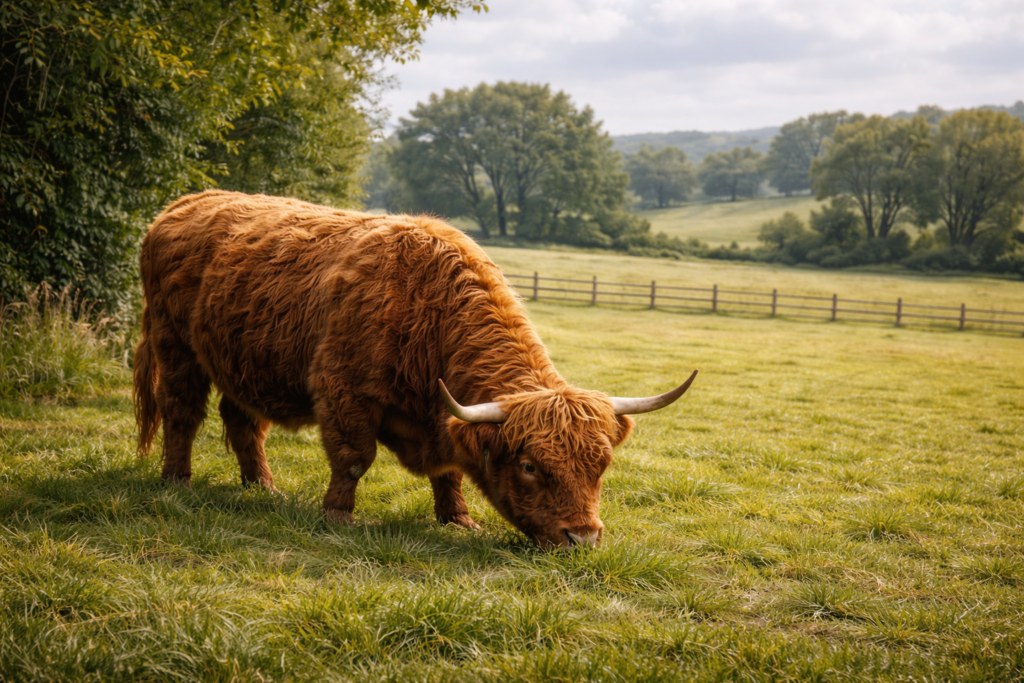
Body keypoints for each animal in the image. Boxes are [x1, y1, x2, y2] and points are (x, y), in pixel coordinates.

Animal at [133, 191, 697, 549]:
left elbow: (450, 473)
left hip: (241, 361)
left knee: (244, 422)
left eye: (601, 465)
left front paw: (459, 520)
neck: (427, 312)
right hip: (176, 345)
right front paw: (339, 516)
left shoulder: (442, 418)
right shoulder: (343, 389)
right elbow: (353, 458)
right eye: (531, 466)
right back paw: (178, 482)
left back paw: (263, 488)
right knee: (181, 412)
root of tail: (184, 203)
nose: (582, 537)